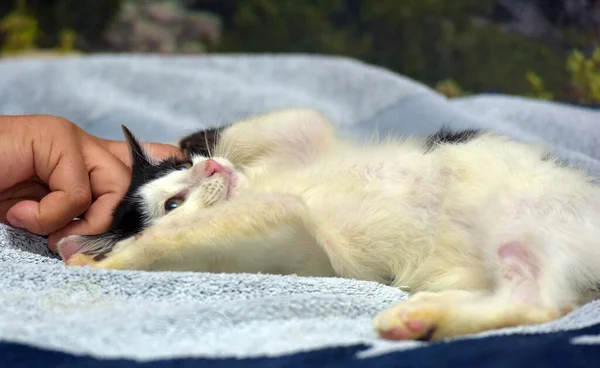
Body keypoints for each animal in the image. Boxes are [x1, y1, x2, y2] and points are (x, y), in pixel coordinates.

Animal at [57, 108, 600, 342]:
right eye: (173, 202)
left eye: (183, 168)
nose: (209, 167)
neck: (260, 186)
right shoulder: (307, 243)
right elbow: (186, 235)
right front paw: (111, 258)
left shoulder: (299, 144)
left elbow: (301, 118)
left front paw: (194, 137)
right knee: (538, 302)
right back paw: (424, 318)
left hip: (527, 210)